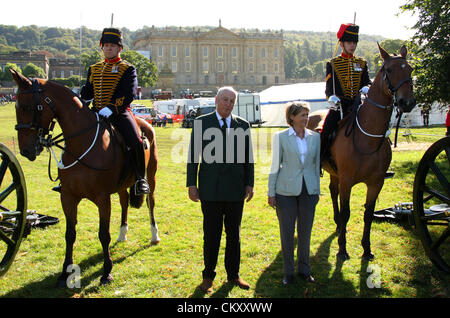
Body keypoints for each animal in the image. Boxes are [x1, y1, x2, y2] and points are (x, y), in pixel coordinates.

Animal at [10, 69, 160, 286]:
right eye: (16, 106)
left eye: (27, 106)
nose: (26, 150)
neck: (81, 144)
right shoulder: (68, 197)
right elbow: (70, 234)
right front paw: (65, 272)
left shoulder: (102, 198)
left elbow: (103, 234)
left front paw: (106, 272)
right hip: (123, 183)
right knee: (124, 202)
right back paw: (122, 233)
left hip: (150, 175)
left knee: (150, 202)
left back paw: (154, 234)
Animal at [308, 45, 416, 264]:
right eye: (388, 70)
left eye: (409, 69)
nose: (407, 102)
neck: (367, 137)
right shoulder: (347, 180)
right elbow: (347, 212)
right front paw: (342, 249)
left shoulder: (376, 182)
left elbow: (368, 213)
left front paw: (366, 249)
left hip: (335, 173)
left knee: (332, 191)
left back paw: (337, 224)